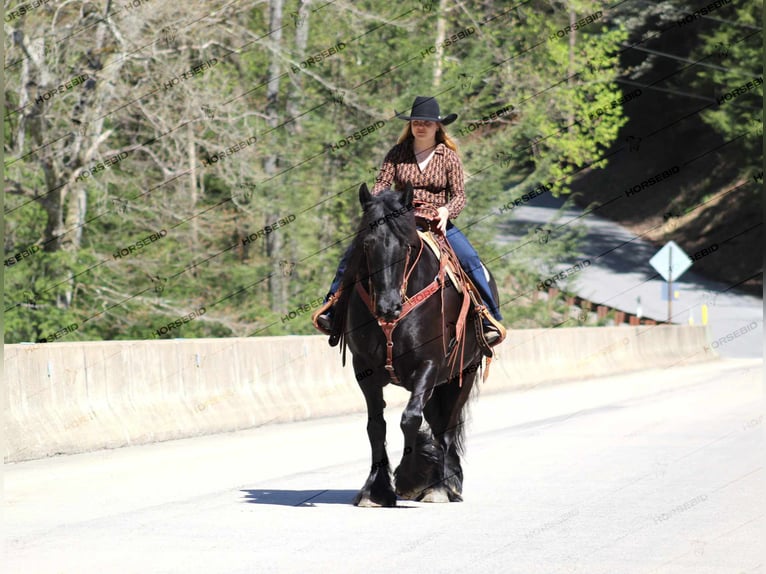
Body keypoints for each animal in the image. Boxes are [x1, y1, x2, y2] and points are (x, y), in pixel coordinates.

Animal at [338, 183, 498, 508]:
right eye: (366, 245)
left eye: (406, 246)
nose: (388, 308)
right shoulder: (365, 369)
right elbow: (376, 426)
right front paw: (375, 490)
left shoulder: (429, 363)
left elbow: (410, 419)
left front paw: (410, 480)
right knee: (437, 423)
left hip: (464, 373)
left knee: (447, 426)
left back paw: (444, 486)